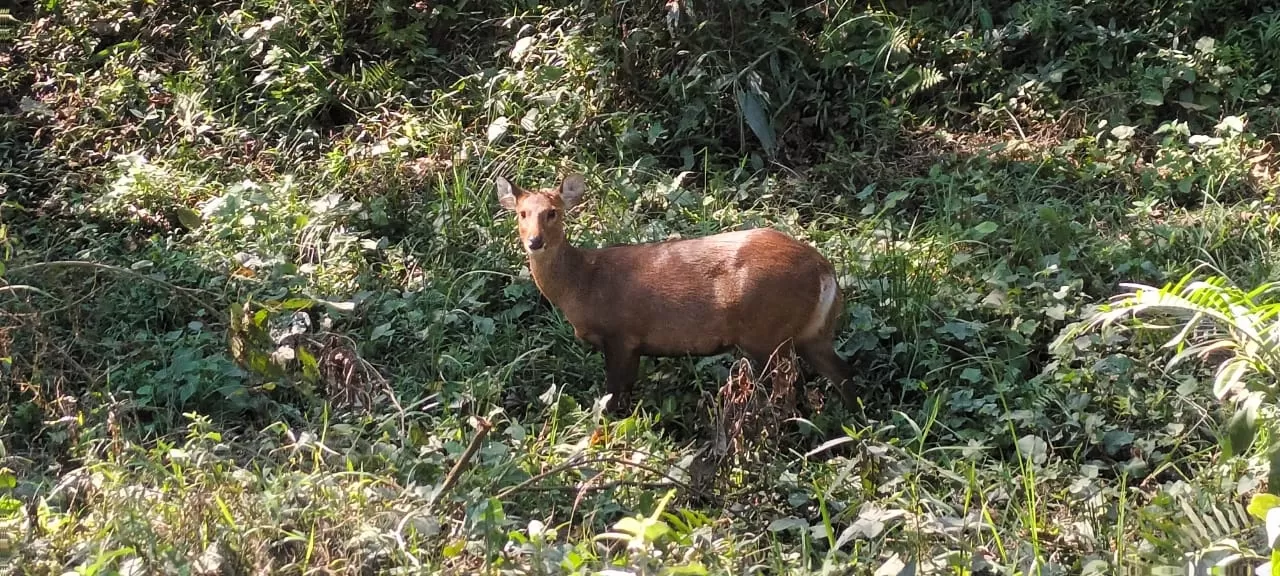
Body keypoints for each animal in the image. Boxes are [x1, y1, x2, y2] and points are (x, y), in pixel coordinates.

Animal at [499, 171, 860, 414]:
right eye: (521, 213)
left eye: (552, 212)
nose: (534, 241)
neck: (582, 283)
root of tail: (824, 269)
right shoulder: (632, 343)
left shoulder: (621, 334)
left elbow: (613, 395)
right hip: (812, 333)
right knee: (842, 373)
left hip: (767, 331)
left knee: (791, 384)